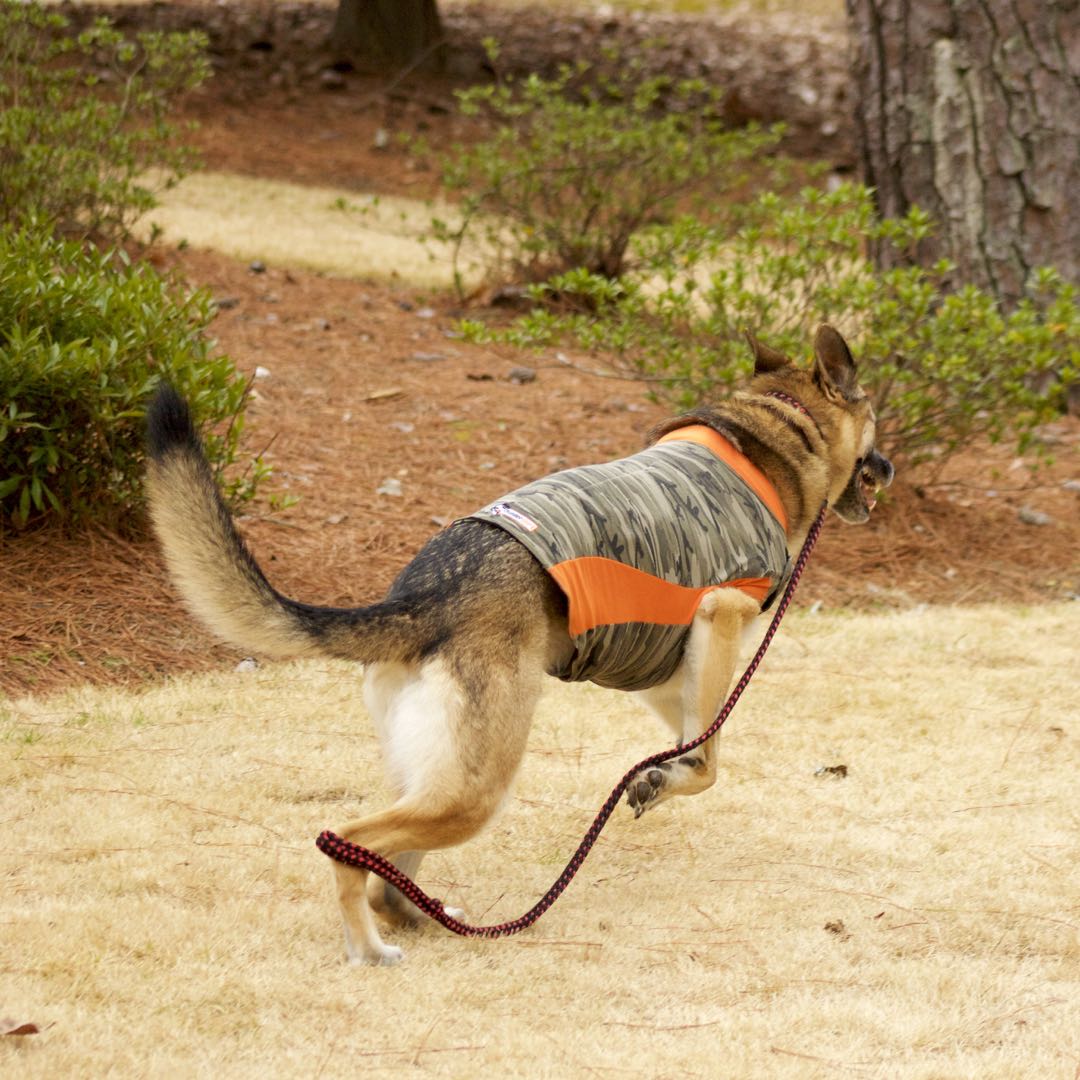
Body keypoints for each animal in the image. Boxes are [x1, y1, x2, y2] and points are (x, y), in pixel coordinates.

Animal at [147, 324, 898, 967]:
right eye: (876, 421)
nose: (888, 468)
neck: (778, 430)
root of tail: (423, 596)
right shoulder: (721, 617)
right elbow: (709, 757)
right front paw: (668, 776)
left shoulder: (669, 665)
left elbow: (696, 744)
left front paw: (659, 778)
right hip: (477, 786)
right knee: (349, 844)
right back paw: (370, 948)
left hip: (435, 772)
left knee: (388, 875)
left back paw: (423, 918)